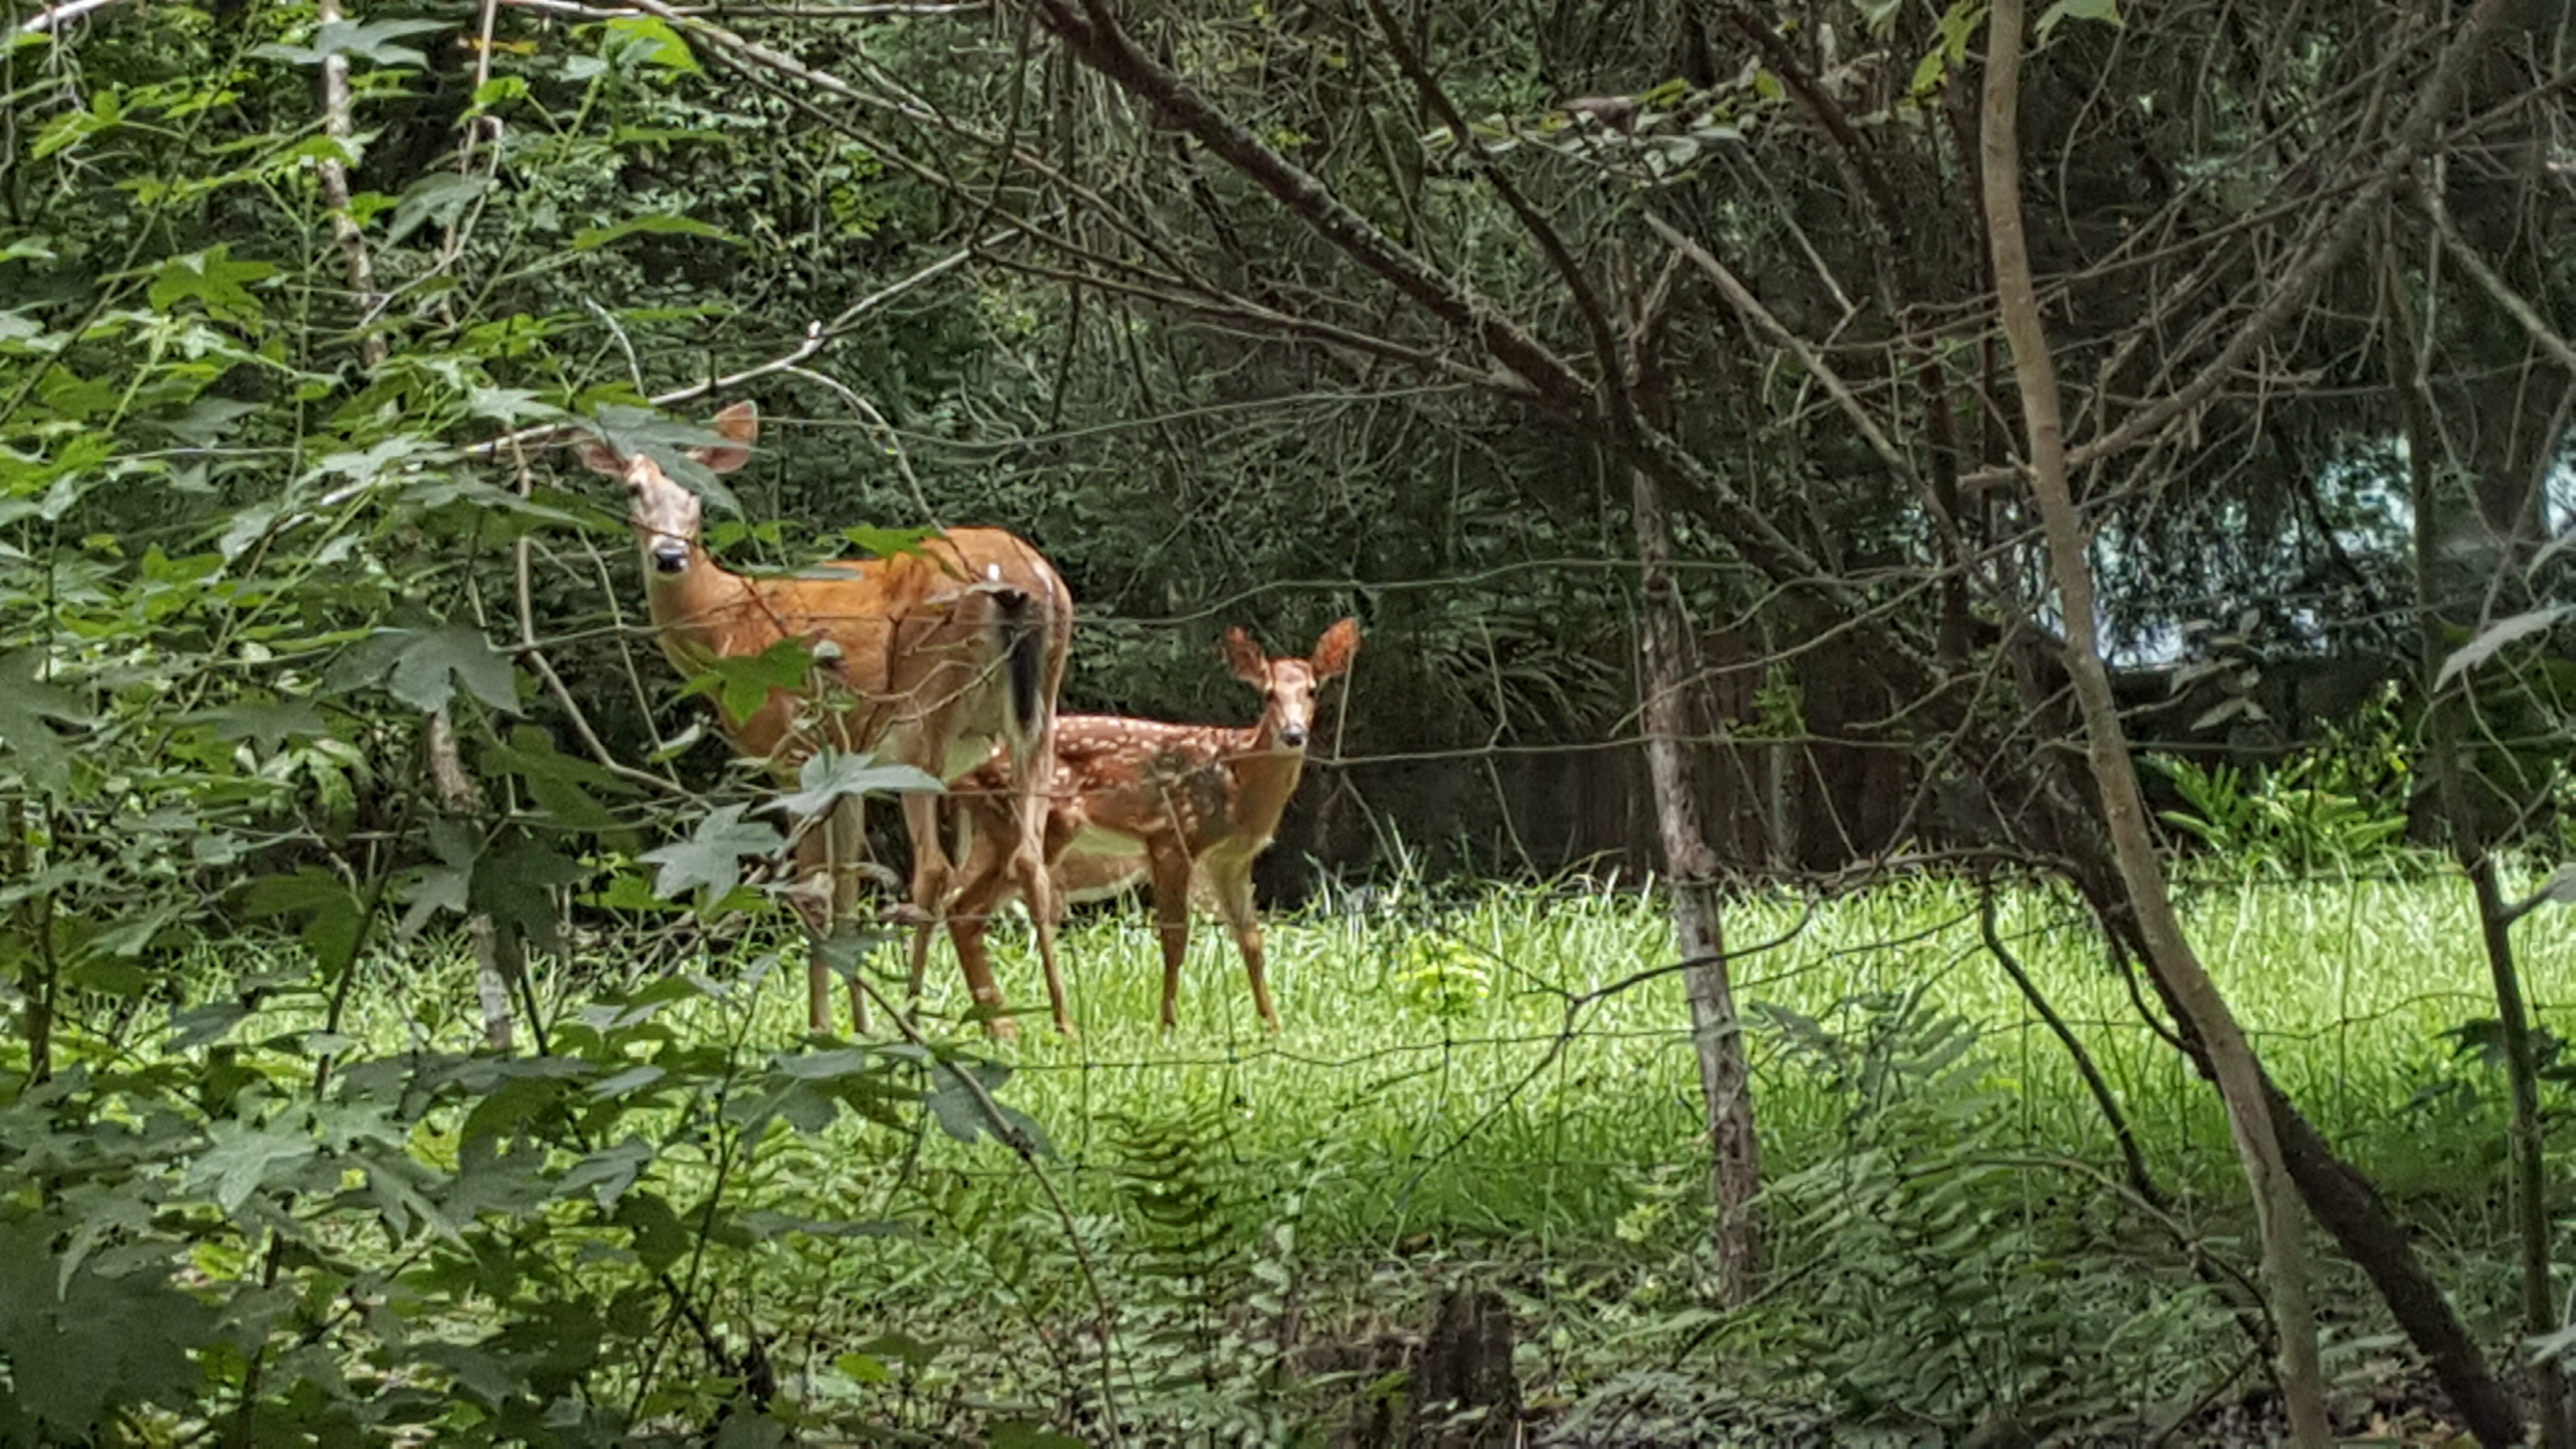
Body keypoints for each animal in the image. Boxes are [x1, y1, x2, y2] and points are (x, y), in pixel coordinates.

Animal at [578, 401, 1076, 1038]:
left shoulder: (795, 754)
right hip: (1035, 715)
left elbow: (814, 890)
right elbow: (845, 892)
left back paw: (913, 1016)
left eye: (698, 488)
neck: (727, 624)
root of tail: (1023, 579)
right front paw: (857, 1027)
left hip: (922, 712)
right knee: (1030, 858)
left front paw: (820, 1029)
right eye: (632, 488)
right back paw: (1062, 1023)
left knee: (934, 870)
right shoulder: (847, 772)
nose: (669, 556)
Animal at [919, 619, 1360, 1034]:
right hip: (1038, 826)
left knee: (961, 911)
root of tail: (959, 776)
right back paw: (1045, 1024)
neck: (1238, 782)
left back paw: (1001, 1026)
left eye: (1313, 690)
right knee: (978, 907)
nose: (1293, 734)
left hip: (1000, 832)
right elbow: (1175, 938)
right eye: (1268, 694)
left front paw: (1274, 1028)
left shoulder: (1231, 860)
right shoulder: (1171, 837)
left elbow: (1251, 941)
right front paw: (1168, 1026)